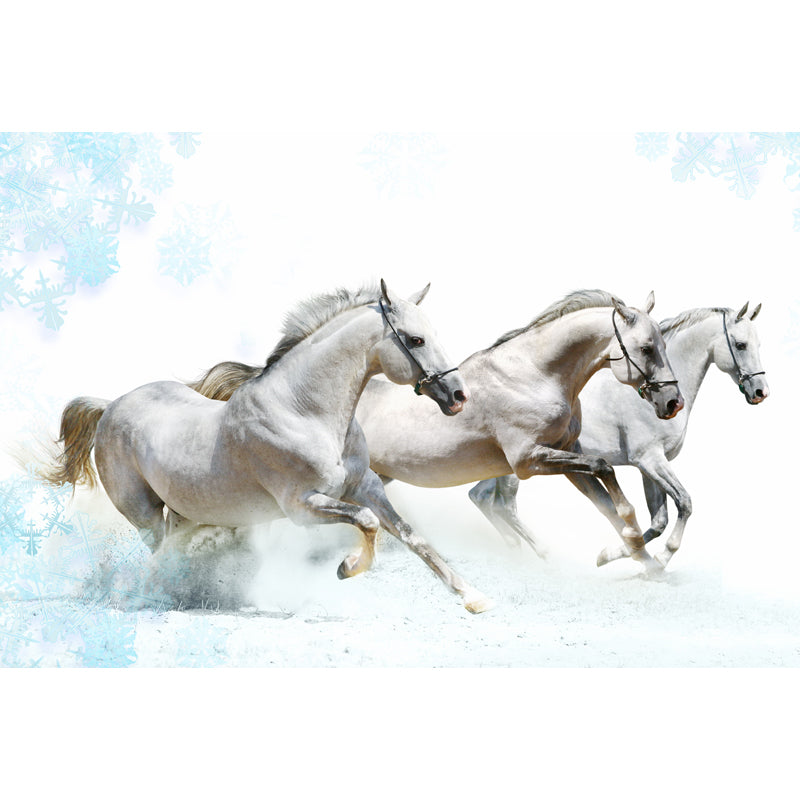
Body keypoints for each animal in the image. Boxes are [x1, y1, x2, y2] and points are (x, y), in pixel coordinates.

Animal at [41, 280, 496, 614]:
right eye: (415, 340)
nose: (458, 395)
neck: (304, 411)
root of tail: (111, 405)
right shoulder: (302, 506)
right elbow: (367, 523)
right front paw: (347, 569)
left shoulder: (366, 487)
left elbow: (411, 536)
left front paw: (474, 597)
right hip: (143, 513)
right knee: (161, 551)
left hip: (184, 510)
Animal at [187, 289, 684, 574]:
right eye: (646, 347)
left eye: (661, 344)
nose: (672, 403)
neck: (536, 374)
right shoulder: (529, 460)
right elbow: (606, 472)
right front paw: (633, 546)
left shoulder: (563, 458)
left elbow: (608, 497)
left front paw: (639, 560)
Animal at [468, 302, 768, 569]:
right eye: (741, 344)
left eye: (758, 345)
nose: (760, 392)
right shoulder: (650, 460)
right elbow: (684, 503)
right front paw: (658, 558)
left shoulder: (649, 467)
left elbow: (658, 521)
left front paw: (616, 555)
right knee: (503, 504)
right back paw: (542, 554)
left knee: (481, 496)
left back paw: (516, 550)